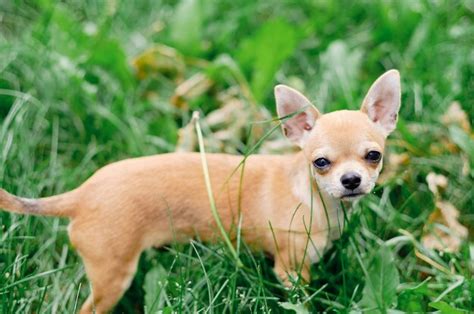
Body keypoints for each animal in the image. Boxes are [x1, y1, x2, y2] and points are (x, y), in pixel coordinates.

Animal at [0, 70, 400, 312]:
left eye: (374, 156)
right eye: (320, 162)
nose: (351, 181)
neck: (314, 197)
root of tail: (81, 194)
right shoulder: (290, 269)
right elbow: (300, 299)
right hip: (112, 275)